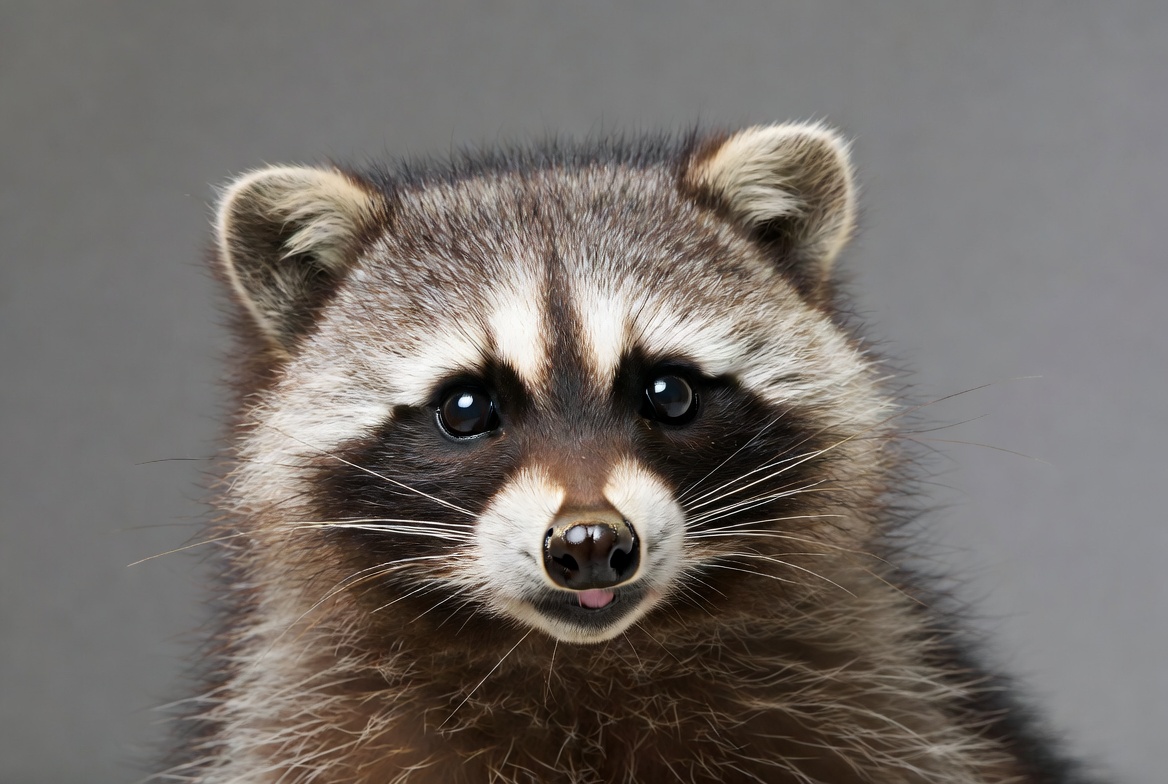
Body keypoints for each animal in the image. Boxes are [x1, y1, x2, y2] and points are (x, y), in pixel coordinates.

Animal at [171, 123, 1092, 783]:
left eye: (669, 392)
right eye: (466, 409)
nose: (590, 545)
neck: (584, 668)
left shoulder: (890, 716)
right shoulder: (310, 733)